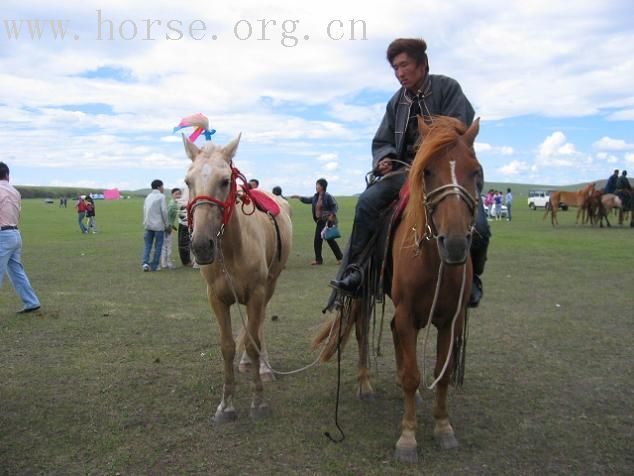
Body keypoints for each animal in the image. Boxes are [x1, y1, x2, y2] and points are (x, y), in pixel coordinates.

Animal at [183, 133, 292, 420]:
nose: (201, 245)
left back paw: (263, 367)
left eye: (224, 181)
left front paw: (258, 402)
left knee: (260, 323)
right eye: (188, 182)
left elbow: (253, 342)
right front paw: (226, 405)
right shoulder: (216, 298)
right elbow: (227, 346)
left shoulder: (257, 292)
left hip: (271, 283)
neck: (233, 250)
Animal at [314, 117, 482, 462]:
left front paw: (443, 427)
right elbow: (411, 375)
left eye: (475, 172)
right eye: (427, 171)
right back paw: (365, 385)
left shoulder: (451, 319)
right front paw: (407, 438)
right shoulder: (407, 312)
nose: (455, 243)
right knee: (363, 331)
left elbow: (442, 372)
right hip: (364, 291)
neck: (433, 260)